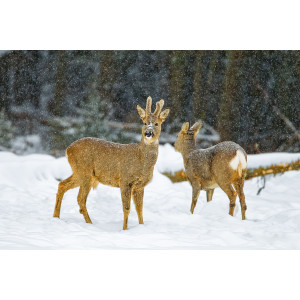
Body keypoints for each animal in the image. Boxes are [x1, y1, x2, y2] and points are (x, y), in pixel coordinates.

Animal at [53, 96, 169, 230]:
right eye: (144, 123)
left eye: (156, 123)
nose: (148, 133)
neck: (140, 160)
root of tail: (68, 149)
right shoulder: (125, 180)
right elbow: (126, 208)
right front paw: (125, 229)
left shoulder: (140, 186)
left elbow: (139, 209)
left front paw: (141, 227)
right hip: (84, 172)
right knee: (80, 199)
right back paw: (90, 224)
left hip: (81, 173)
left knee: (62, 185)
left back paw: (56, 217)